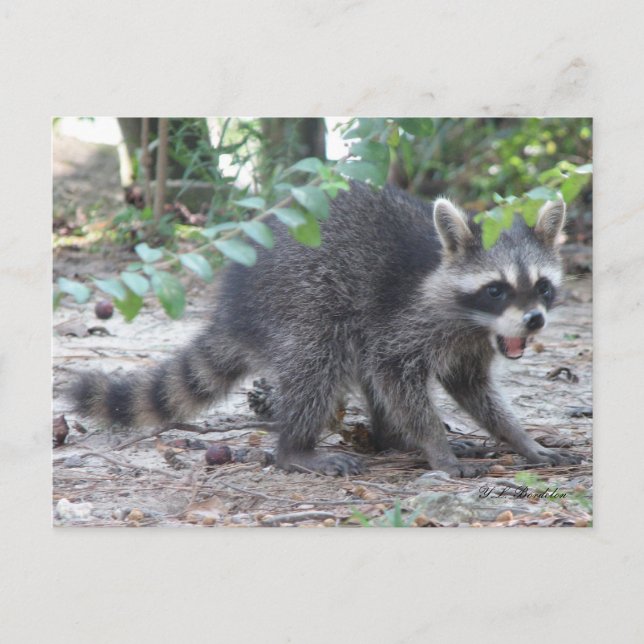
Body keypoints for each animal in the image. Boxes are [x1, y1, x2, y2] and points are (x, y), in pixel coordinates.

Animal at [70, 182, 582, 477]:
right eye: (496, 289)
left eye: (542, 286)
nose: (534, 320)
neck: (474, 322)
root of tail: (234, 311)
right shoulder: (407, 320)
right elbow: (395, 373)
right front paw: (436, 446)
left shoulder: (470, 345)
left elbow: (472, 388)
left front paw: (521, 440)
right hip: (299, 303)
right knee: (320, 361)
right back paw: (296, 449)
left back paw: (391, 439)